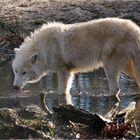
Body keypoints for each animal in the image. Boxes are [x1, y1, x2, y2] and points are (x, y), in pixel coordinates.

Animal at [12, 17, 140, 95]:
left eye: (24, 73)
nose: (15, 87)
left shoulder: (63, 70)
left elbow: (62, 91)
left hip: (110, 66)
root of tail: (134, 29)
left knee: (115, 89)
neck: (43, 47)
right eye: (15, 71)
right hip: (127, 68)